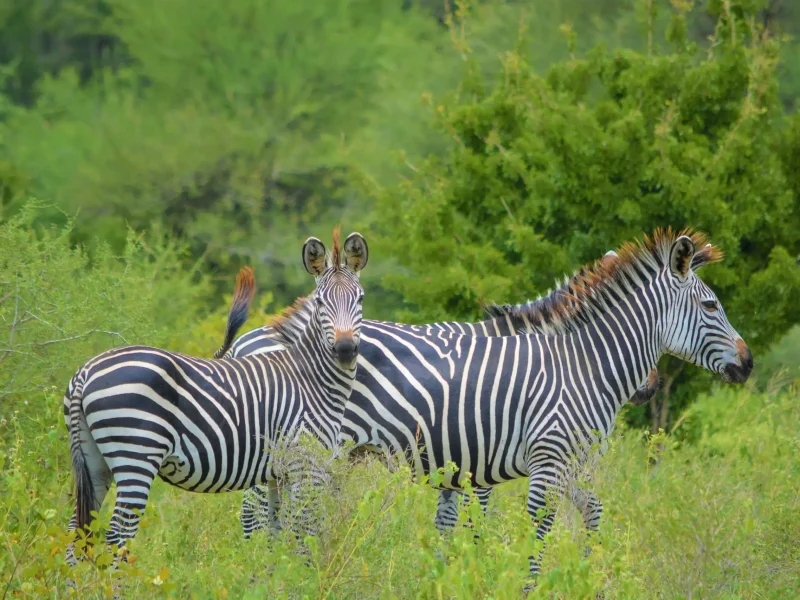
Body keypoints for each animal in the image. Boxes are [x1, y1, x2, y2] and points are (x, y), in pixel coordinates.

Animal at [62, 229, 369, 569]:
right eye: (320, 302)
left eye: (360, 299)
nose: (345, 350)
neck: (310, 378)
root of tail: (85, 372)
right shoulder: (306, 466)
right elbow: (304, 534)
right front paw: (304, 576)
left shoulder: (278, 473)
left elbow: (277, 533)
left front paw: (269, 576)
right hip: (136, 455)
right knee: (117, 534)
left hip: (94, 460)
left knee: (77, 532)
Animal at [220, 250, 660, 540]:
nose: (650, 387)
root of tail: (246, 341)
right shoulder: (482, 455)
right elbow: (477, 522)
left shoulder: (457, 457)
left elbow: (447, 524)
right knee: (251, 509)